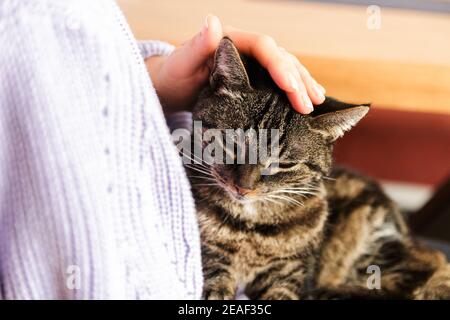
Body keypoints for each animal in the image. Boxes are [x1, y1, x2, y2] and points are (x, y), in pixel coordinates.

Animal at [181, 37, 448, 300]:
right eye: (232, 144)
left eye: (285, 164)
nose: (243, 188)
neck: (250, 227)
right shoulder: (209, 260)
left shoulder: (288, 273)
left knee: (421, 269)